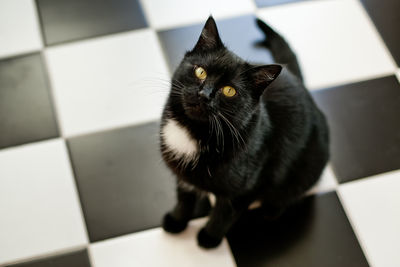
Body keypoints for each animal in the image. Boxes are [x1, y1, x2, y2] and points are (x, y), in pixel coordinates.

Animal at [159, 15, 328, 249]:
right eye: (200, 71)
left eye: (229, 91)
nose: (204, 94)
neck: (194, 130)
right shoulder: (182, 175)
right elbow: (184, 198)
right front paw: (177, 221)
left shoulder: (250, 186)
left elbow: (224, 214)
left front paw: (209, 238)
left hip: (306, 168)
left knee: (290, 192)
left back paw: (271, 210)